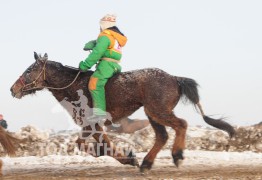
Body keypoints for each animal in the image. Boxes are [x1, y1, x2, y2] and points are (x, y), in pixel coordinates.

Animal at [9, 52, 235, 172]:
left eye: (29, 70)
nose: (12, 89)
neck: (74, 86)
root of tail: (174, 78)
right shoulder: (94, 125)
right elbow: (99, 145)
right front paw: (127, 158)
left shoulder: (91, 123)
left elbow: (90, 145)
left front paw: (126, 157)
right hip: (152, 112)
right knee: (162, 136)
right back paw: (146, 163)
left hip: (158, 110)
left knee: (181, 124)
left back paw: (177, 155)